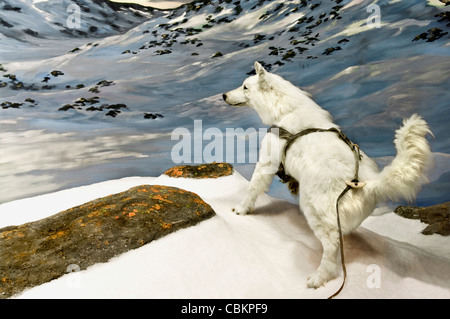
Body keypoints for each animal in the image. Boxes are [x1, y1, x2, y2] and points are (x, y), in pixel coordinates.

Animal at [223, 61, 430, 288]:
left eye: (245, 87)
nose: (223, 95)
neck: (285, 110)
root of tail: (368, 183)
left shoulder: (266, 163)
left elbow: (252, 189)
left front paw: (240, 210)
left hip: (314, 211)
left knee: (331, 248)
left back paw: (319, 277)